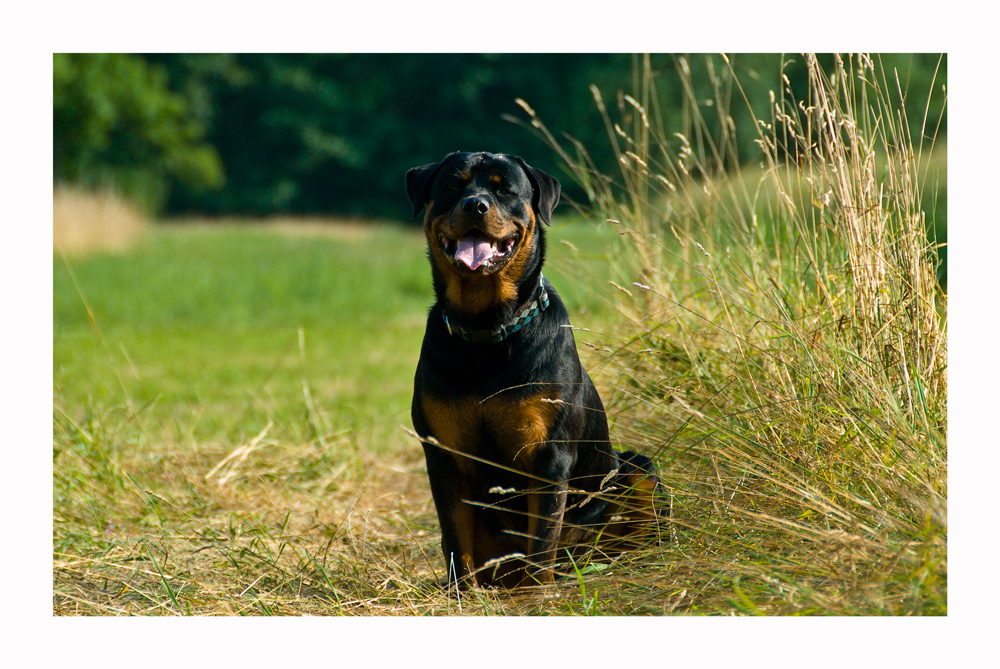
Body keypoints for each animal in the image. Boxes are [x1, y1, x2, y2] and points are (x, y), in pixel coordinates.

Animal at [406, 153, 664, 588]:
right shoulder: (443, 451)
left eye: (505, 189)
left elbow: (542, 539)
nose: (475, 205)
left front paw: (535, 593)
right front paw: (460, 591)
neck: (487, 330)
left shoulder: (548, 452)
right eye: (453, 186)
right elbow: (455, 538)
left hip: (636, 469)